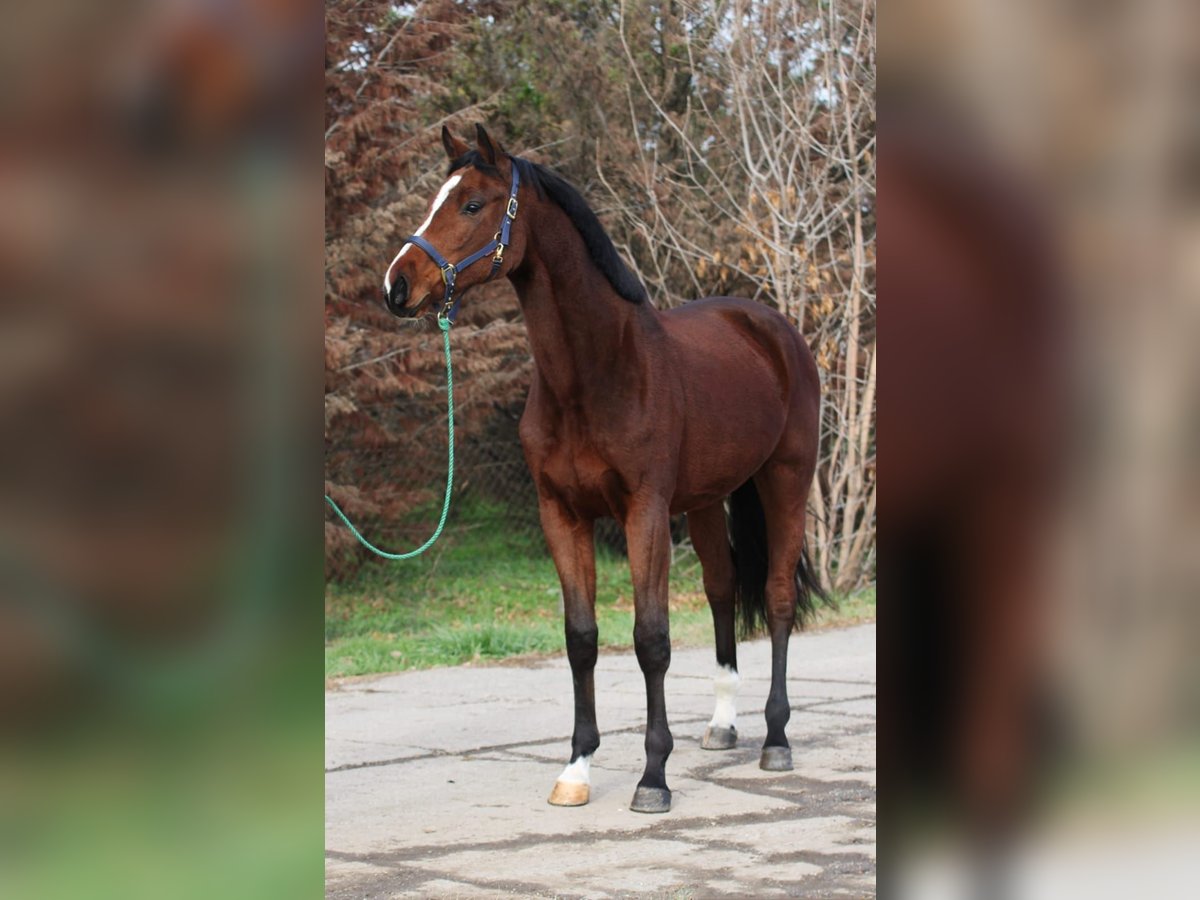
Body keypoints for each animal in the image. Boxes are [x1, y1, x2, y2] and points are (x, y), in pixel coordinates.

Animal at [384, 123, 825, 816]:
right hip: (707, 500)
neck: (597, 374)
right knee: (723, 590)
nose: (397, 286)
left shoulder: (643, 513)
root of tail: (773, 329)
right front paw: (577, 768)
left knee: (778, 599)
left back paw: (776, 740)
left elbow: (651, 640)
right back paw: (723, 726)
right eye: (437, 198)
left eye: (473, 204)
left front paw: (653, 778)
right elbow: (582, 638)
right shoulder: (562, 516)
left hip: (786, 480)